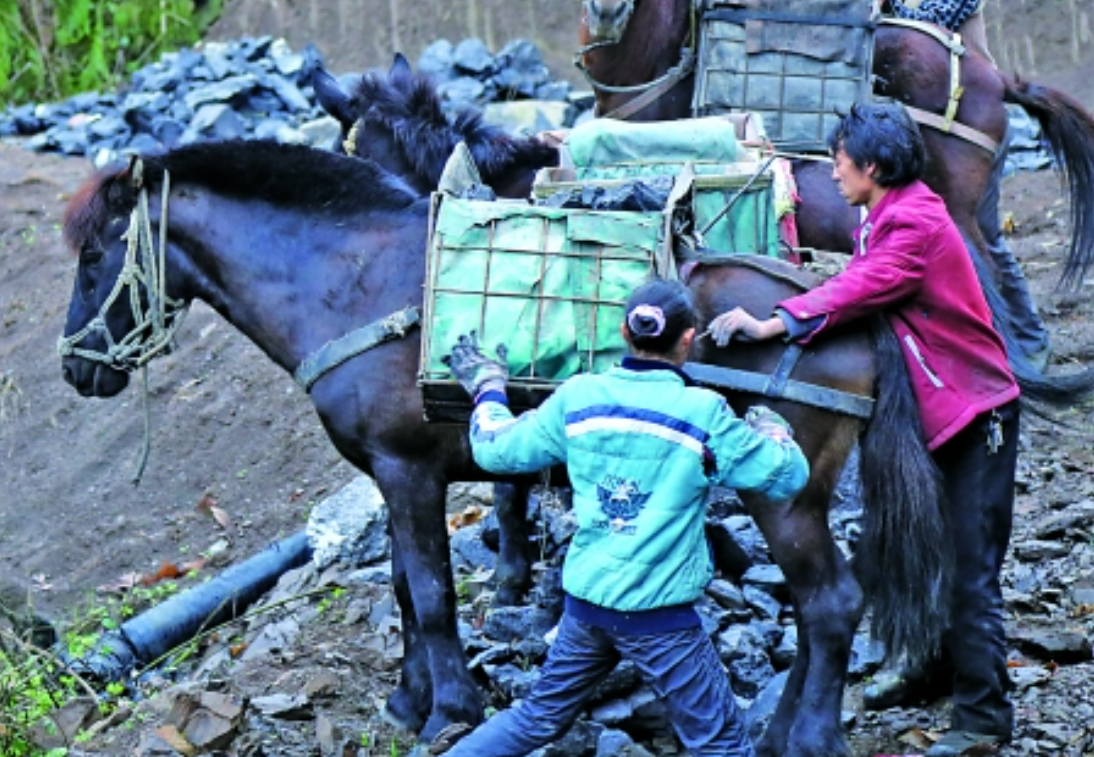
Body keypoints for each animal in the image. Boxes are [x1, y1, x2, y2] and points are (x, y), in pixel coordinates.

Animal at [59, 137, 949, 757]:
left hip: (781, 491)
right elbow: (405, 591)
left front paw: (449, 710)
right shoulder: (389, 479)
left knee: (831, 602)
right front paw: (409, 700)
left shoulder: (408, 471)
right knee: (817, 603)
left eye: (97, 254)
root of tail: (837, 309)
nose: (75, 367)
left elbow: (431, 593)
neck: (347, 283)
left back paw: (809, 737)